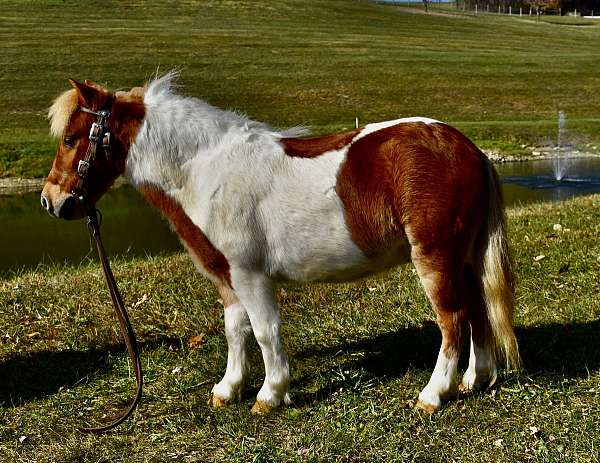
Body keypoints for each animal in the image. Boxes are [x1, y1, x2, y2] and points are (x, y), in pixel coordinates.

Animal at [43, 73, 520, 416]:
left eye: (70, 139)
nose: (51, 201)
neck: (205, 169)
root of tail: (470, 150)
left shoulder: (250, 275)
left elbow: (264, 331)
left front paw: (270, 394)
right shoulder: (228, 277)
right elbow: (235, 331)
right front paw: (228, 389)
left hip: (436, 258)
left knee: (453, 321)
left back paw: (434, 394)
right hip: (463, 260)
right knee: (477, 313)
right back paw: (476, 378)